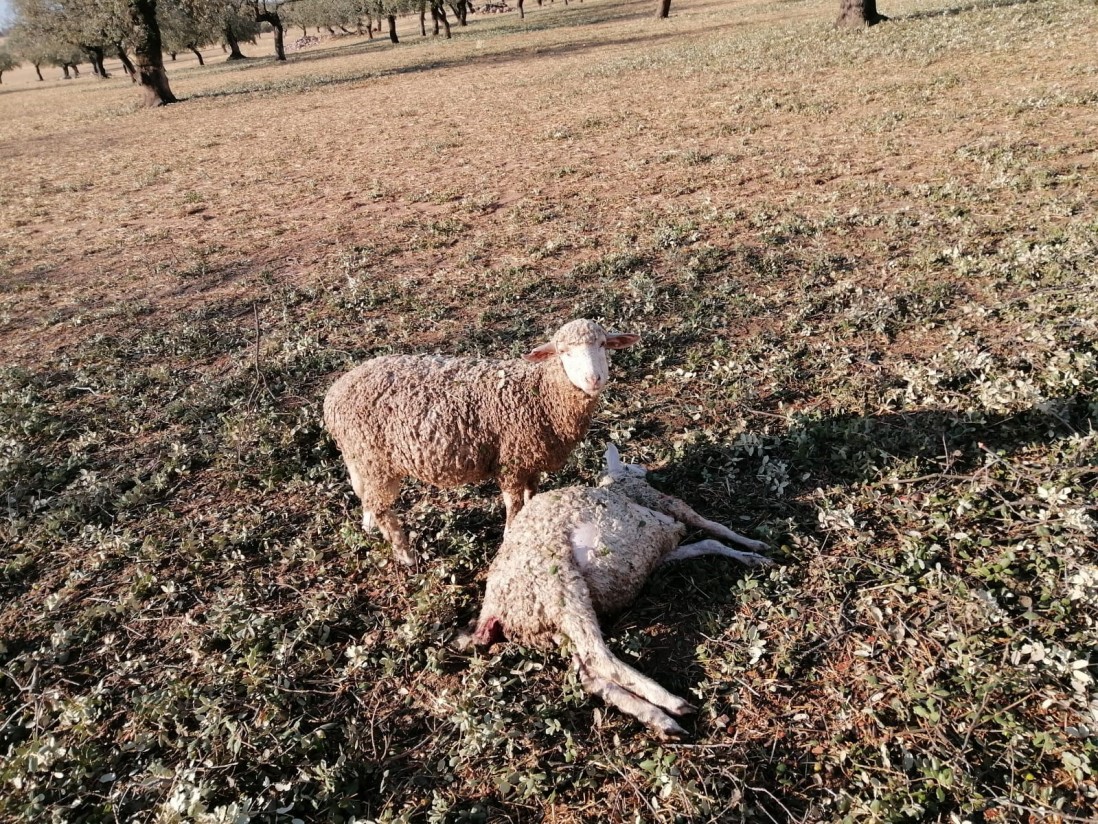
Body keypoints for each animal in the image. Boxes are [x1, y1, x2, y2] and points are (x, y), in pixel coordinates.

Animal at [320, 318, 641, 566]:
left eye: (603, 345)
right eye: (563, 352)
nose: (593, 379)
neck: (541, 393)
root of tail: (334, 395)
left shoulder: (530, 459)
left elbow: (531, 495)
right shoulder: (511, 461)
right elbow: (513, 504)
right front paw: (511, 535)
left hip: (361, 458)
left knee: (364, 496)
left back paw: (369, 526)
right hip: (377, 460)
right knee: (381, 507)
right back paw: (406, 555)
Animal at [465, 446, 772, 742]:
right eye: (625, 462)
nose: (644, 467)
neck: (618, 487)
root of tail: (493, 613)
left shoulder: (660, 554)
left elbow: (707, 543)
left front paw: (752, 558)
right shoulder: (666, 505)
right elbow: (711, 526)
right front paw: (754, 544)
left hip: (550, 622)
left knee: (588, 673)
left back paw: (659, 721)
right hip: (558, 585)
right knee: (598, 656)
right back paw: (670, 703)